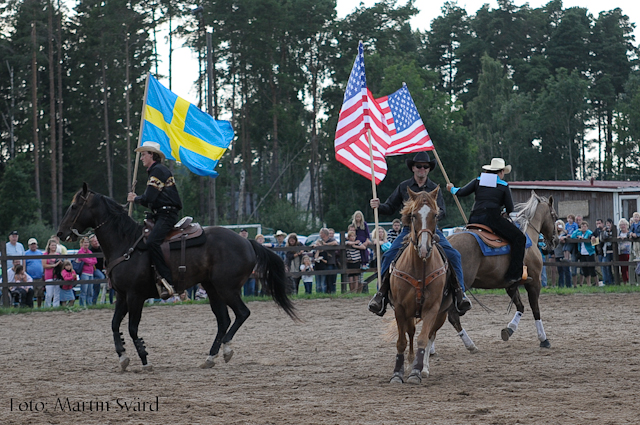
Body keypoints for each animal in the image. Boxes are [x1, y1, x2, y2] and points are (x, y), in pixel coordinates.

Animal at [57, 184, 298, 370]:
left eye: (74, 206)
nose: (60, 233)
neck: (126, 243)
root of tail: (247, 241)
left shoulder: (135, 296)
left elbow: (132, 328)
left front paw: (144, 359)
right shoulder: (122, 296)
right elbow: (115, 325)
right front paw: (123, 357)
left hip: (226, 288)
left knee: (241, 313)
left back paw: (227, 349)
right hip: (212, 288)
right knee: (223, 320)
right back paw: (210, 357)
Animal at [390, 187, 456, 382]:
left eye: (435, 215)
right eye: (413, 215)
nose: (424, 248)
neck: (419, 268)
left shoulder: (432, 309)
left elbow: (423, 339)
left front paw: (416, 372)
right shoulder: (399, 308)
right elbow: (402, 341)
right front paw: (398, 373)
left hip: (441, 314)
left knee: (430, 336)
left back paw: (423, 368)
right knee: (411, 332)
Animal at [448, 190, 556, 350]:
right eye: (554, 216)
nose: (555, 241)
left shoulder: (510, 285)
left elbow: (520, 307)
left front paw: (509, 330)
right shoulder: (534, 282)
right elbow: (535, 309)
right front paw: (543, 339)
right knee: (451, 315)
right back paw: (470, 345)